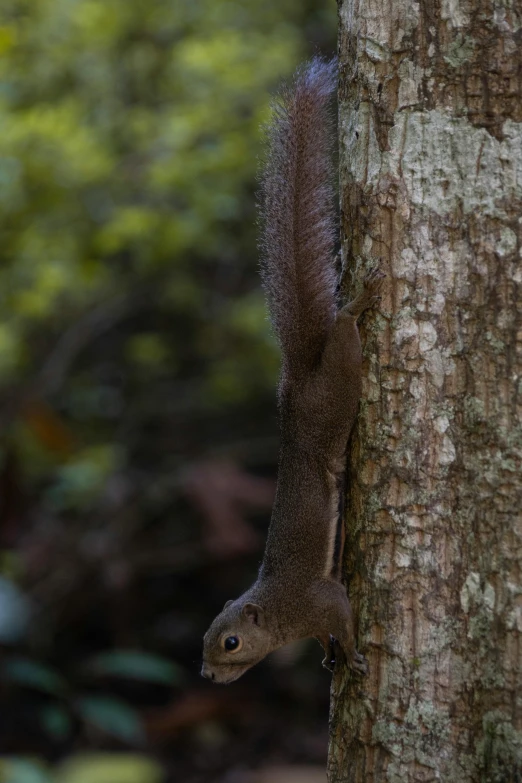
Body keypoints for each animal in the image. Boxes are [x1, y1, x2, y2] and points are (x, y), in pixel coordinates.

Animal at [201, 59, 380, 688]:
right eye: (204, 641)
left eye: (230, 643)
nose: (207, 677)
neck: (279, 613)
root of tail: (299, 378)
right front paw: (329, 654)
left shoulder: (320, 598)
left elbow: (342, 615)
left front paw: (351, 654)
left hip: (338, 390)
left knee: (347, 338)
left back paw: (357, 304)